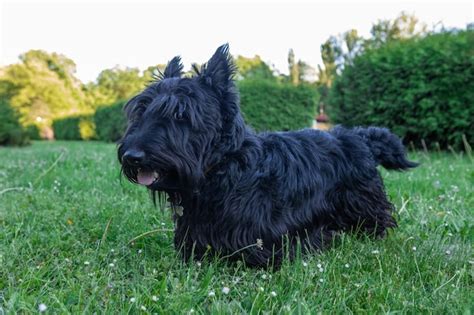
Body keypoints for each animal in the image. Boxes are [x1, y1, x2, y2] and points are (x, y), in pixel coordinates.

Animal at [117, 43, 414, 266]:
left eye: (181, 114)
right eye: (141, 110)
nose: (132, 156)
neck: (225, 167)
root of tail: (359, 136)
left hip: (362, 203)